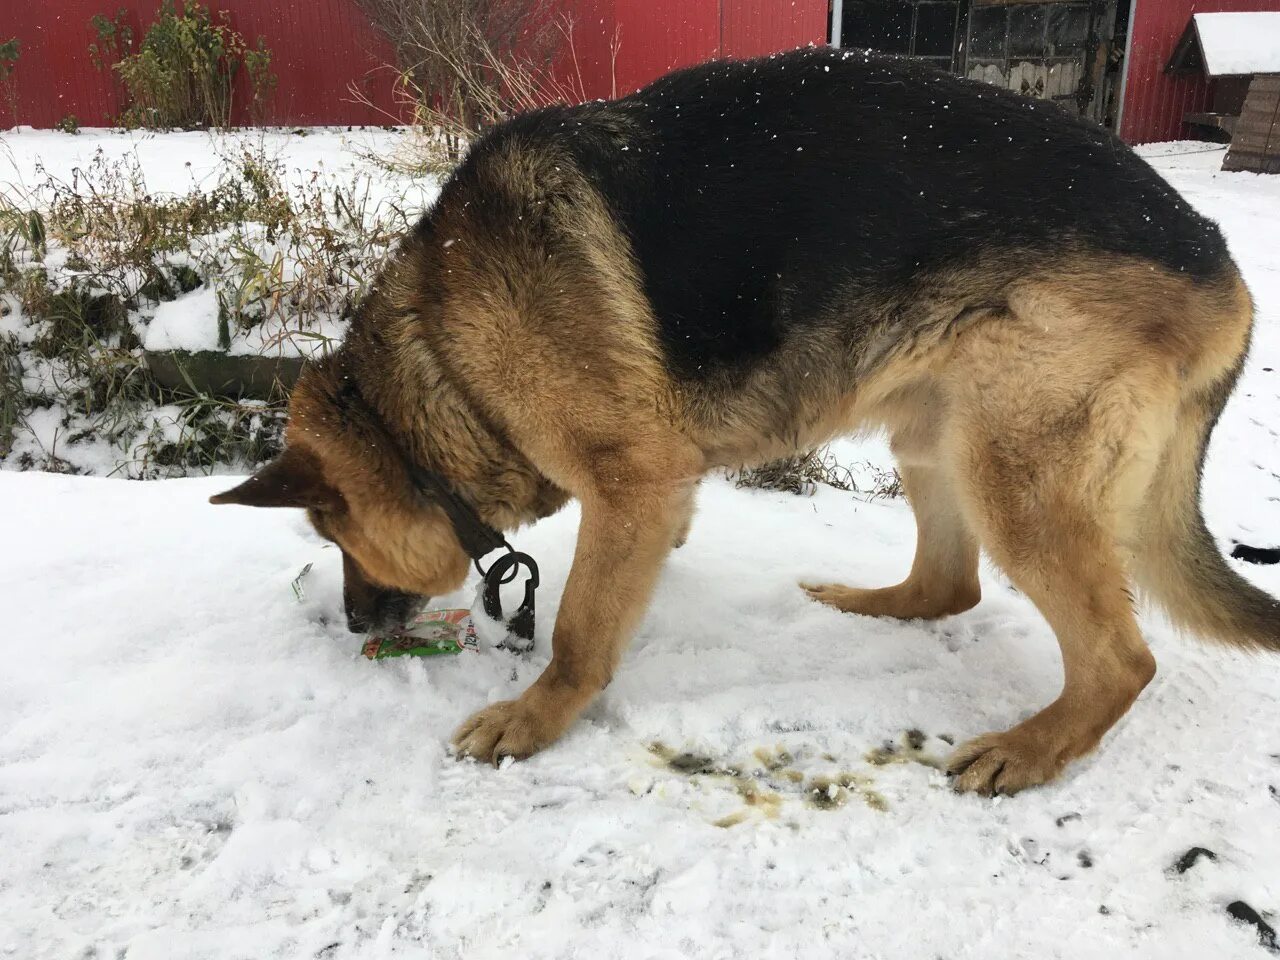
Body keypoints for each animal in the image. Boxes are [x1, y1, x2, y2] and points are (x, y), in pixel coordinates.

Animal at [215, 47, 1274, 798]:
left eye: (333, 537)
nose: (357, 625)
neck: (440, 355)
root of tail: (1219, 260)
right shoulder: (653, 493)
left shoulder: (631, 485)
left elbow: (580, 631)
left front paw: (534, 721)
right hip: (935, 431)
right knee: (949, 586)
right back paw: (866, 603)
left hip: (1010, 469)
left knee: (1122, 659)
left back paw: (1031, 749)